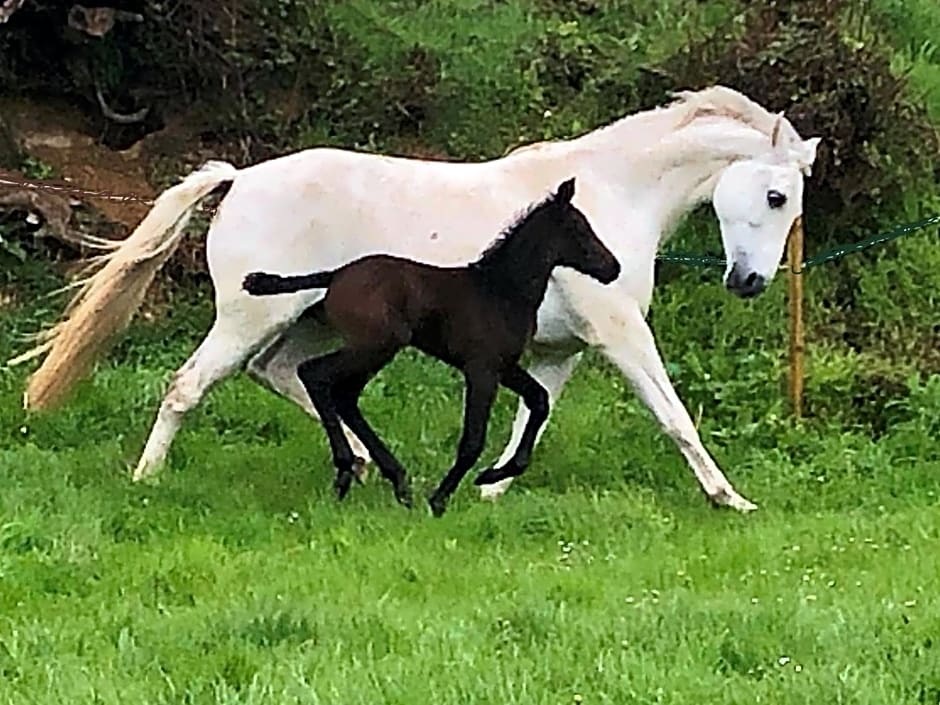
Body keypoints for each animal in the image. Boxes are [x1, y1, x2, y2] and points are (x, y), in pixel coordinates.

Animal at [246, 177, 620, 512]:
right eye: (580, 229)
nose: (612, 268)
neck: (501, 291)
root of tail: (335, 275)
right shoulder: (481, 368)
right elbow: (472, 440)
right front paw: (440, 499)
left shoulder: (504, 366)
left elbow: (539, 400)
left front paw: (492, 475)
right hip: (375, 345)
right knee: (316, 375)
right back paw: (347, 471)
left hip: (374, 349)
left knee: (344, 395)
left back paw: (394, 480)